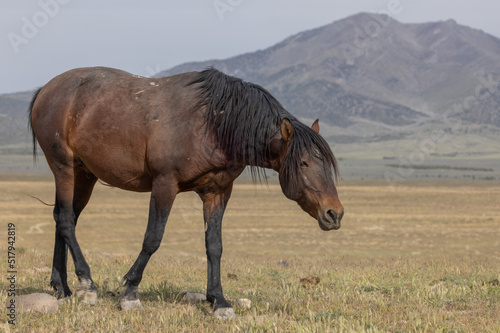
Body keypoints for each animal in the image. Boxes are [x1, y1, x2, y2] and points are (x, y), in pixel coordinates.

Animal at [29, 66, 344, 318]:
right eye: (303, 162)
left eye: (326, 163)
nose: (335, 214)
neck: (213, 124)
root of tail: (46, 89)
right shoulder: (165, 185)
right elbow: (152, 239)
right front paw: (130, 291)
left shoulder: (217, 192)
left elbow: (214, 246)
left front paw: (219, 301)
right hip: (64, 167)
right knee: (66, 220)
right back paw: (87, 284)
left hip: (85, 175)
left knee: (63, 218)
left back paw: (62, 286)